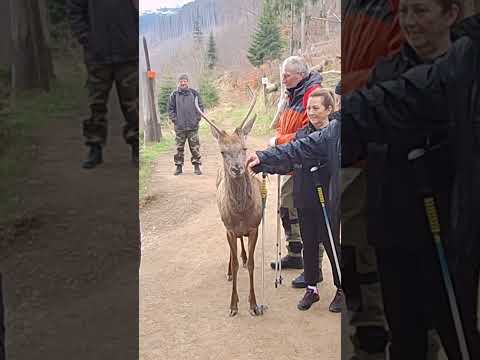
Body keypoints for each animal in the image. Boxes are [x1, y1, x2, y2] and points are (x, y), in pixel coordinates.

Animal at [194, 88, 262, 316]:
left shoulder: (254, 226)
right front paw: (233, 305)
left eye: (244, 148)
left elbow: (252, 264)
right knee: (231, 252)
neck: (241, 212)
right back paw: (230, 269)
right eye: (223, 151)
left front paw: (254, 305)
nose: (237, 168)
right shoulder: (230, 228)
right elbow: (234, 260)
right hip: (224, 225)